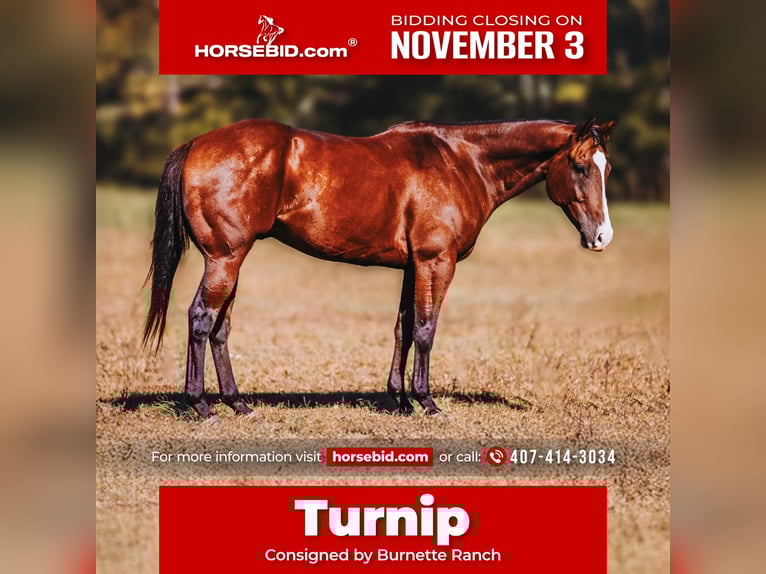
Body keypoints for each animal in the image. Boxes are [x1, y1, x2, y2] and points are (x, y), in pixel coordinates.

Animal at [143, 117, 617, 419]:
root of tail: (198, 143)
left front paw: (400, 400)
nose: (602, 237)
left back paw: (238, 404)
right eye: (579, 167)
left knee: (220, 327)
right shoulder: (435, 262)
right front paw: (426, 402)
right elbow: (425, 329)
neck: (463, 161)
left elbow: (403, 327)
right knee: (200, 319)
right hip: (225, 257)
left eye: (605, 167)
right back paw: (201, 405)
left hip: (232, 259)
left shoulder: (413, 266)